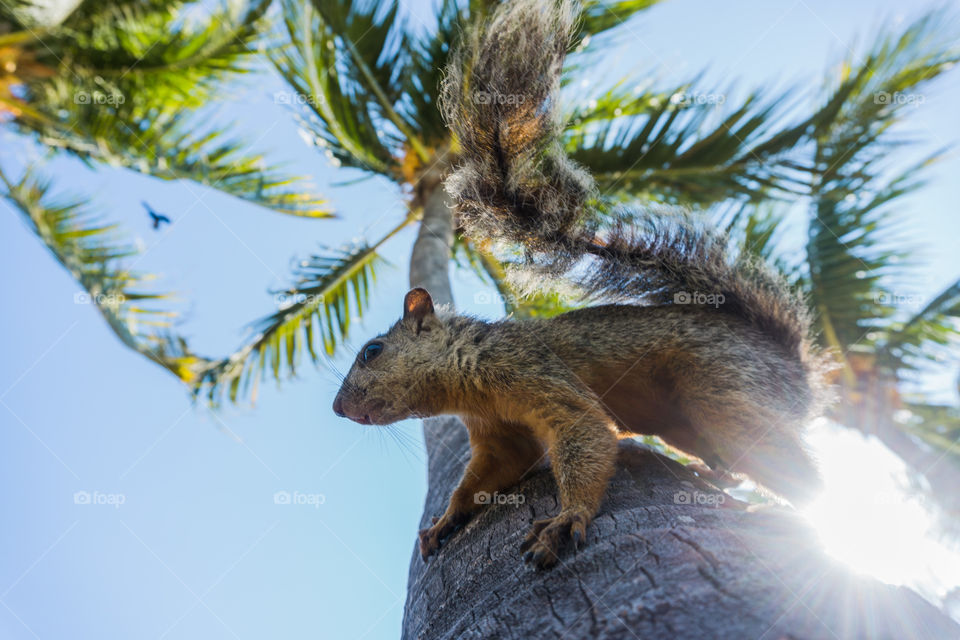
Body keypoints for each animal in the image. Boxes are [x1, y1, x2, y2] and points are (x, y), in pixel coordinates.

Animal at [334, 0, 828, 568]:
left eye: (372, 351)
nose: (338, 409)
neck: (467, 376)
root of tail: (794, 366)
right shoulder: (497, 436)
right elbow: (486, 476)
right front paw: (445, 520)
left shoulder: (532, 371)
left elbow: (584, 427)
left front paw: (567, 518)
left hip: (725, 386)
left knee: (801, 474)